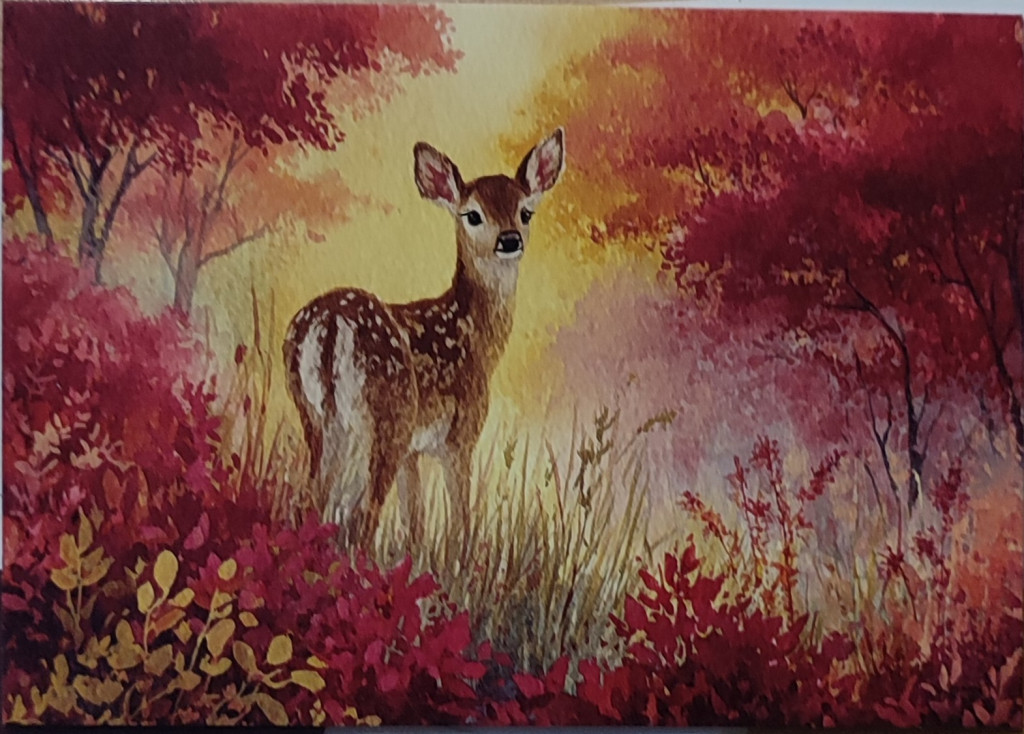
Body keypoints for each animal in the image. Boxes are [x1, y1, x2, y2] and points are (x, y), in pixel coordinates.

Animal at [283, 129, 565, 549]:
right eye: (473, 214)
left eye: (525, 211)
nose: (510, 240)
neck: (478, 341)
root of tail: (329, 324)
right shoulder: (459, 436)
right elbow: (460, 521)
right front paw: (463, 561)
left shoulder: (412, 453)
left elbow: (414, 523)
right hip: (390, 416)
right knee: (364, 515)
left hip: (315, 415)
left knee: (311, 498)